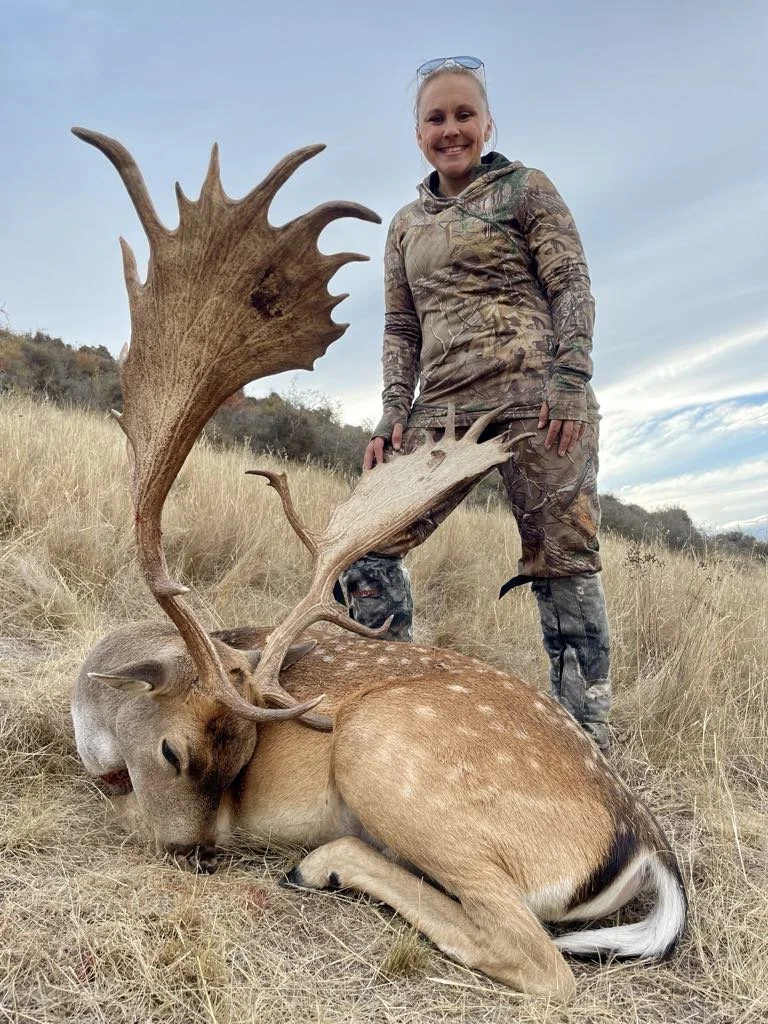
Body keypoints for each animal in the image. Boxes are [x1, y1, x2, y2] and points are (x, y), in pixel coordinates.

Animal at [70, 128, 687, 1002]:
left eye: (189, 757)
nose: (194, 854)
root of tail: (642, 837)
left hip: (384, 750)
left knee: (538, 958)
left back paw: (323, 862)